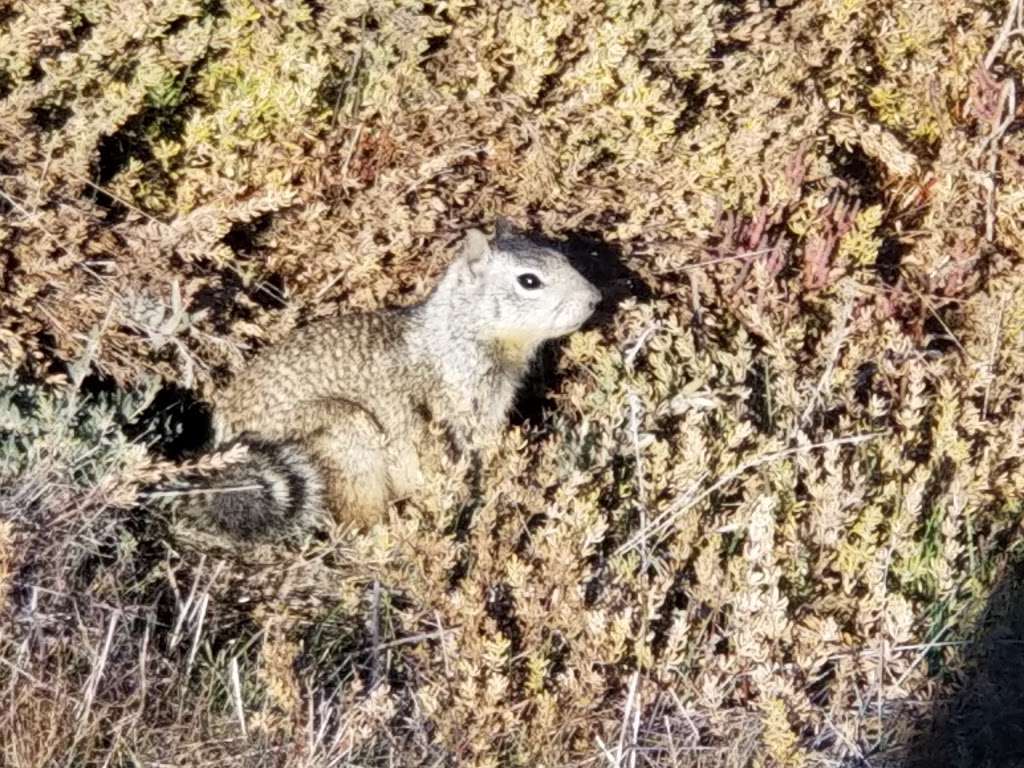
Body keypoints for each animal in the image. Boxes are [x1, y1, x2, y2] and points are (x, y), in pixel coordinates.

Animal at [161, 219, 598, 540]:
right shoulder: (455, 410)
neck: (459, 332)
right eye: (529, 281)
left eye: (561, 256)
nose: (594, 298)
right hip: (351, 441)